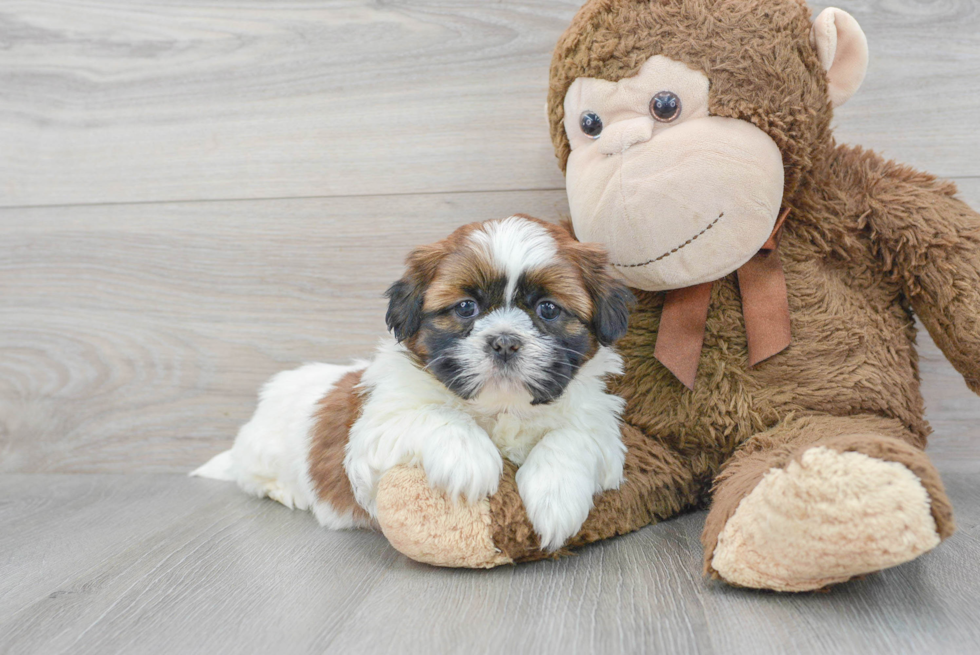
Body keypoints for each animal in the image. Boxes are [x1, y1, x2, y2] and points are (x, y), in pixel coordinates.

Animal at [191, 217, 636, 552]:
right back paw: (284, 492)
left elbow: (571, 437)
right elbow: (436, 415)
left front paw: (555, 496)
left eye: (548, 309)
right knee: (252, 478)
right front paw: (470, 460)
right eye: (466, 307)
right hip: (263, 453)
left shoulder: (599, 424)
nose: (505, 341)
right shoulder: (376, 429)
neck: (500, 408)